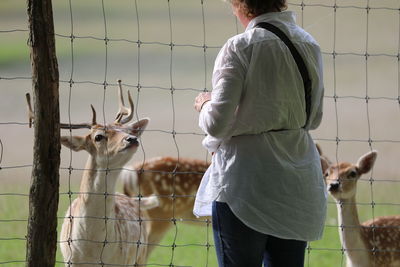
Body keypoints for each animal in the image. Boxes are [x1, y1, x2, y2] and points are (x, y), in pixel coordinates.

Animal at [24, 80, 158, 266]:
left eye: (127, 130)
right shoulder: (69, 260)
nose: (132, 139)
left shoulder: (120, 261)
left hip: (140, 254)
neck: (92, 249)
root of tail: (133, 200)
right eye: (98, 137)